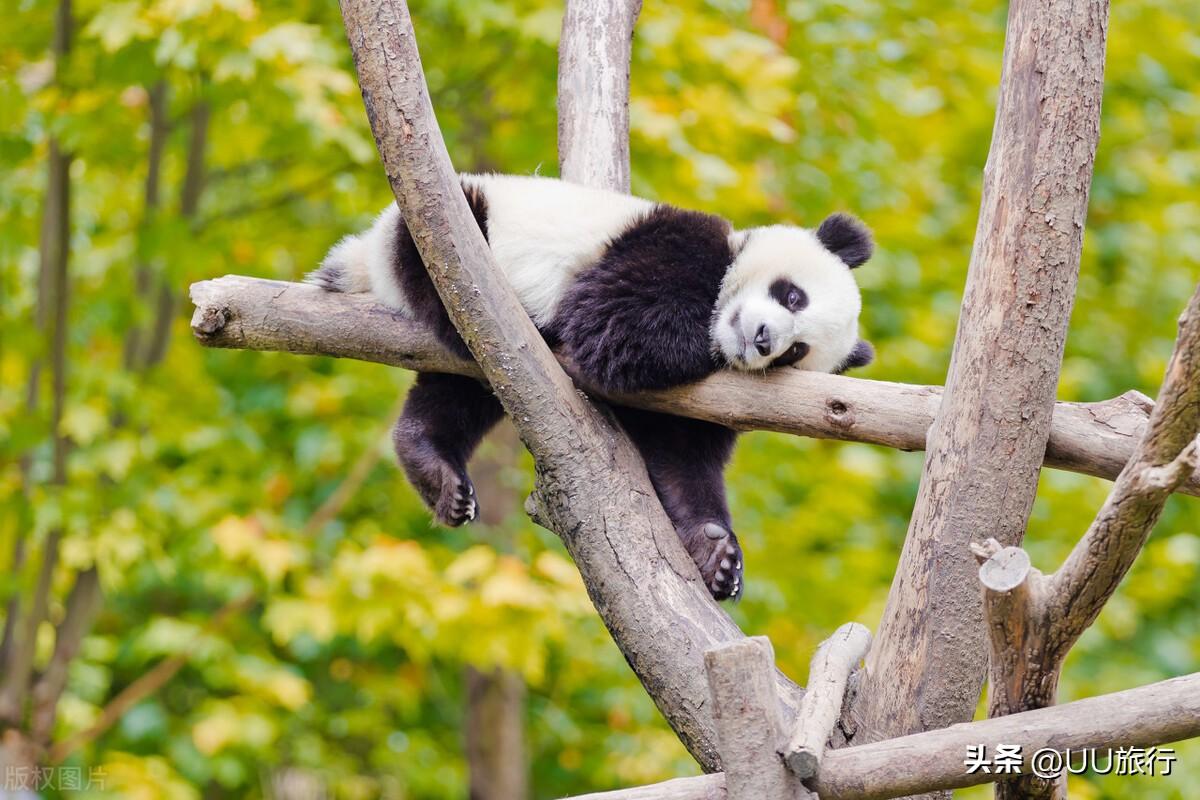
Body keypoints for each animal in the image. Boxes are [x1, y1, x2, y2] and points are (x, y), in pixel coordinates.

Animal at [309, 175, 873, 599]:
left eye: (796, 352)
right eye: (793, 295)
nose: (761, 340)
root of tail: (365, 261)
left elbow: (683, 458)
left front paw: (717, 553)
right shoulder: (668, 244)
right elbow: (617, 328)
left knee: (461, 393)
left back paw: (435, 467)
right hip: (450, 237)